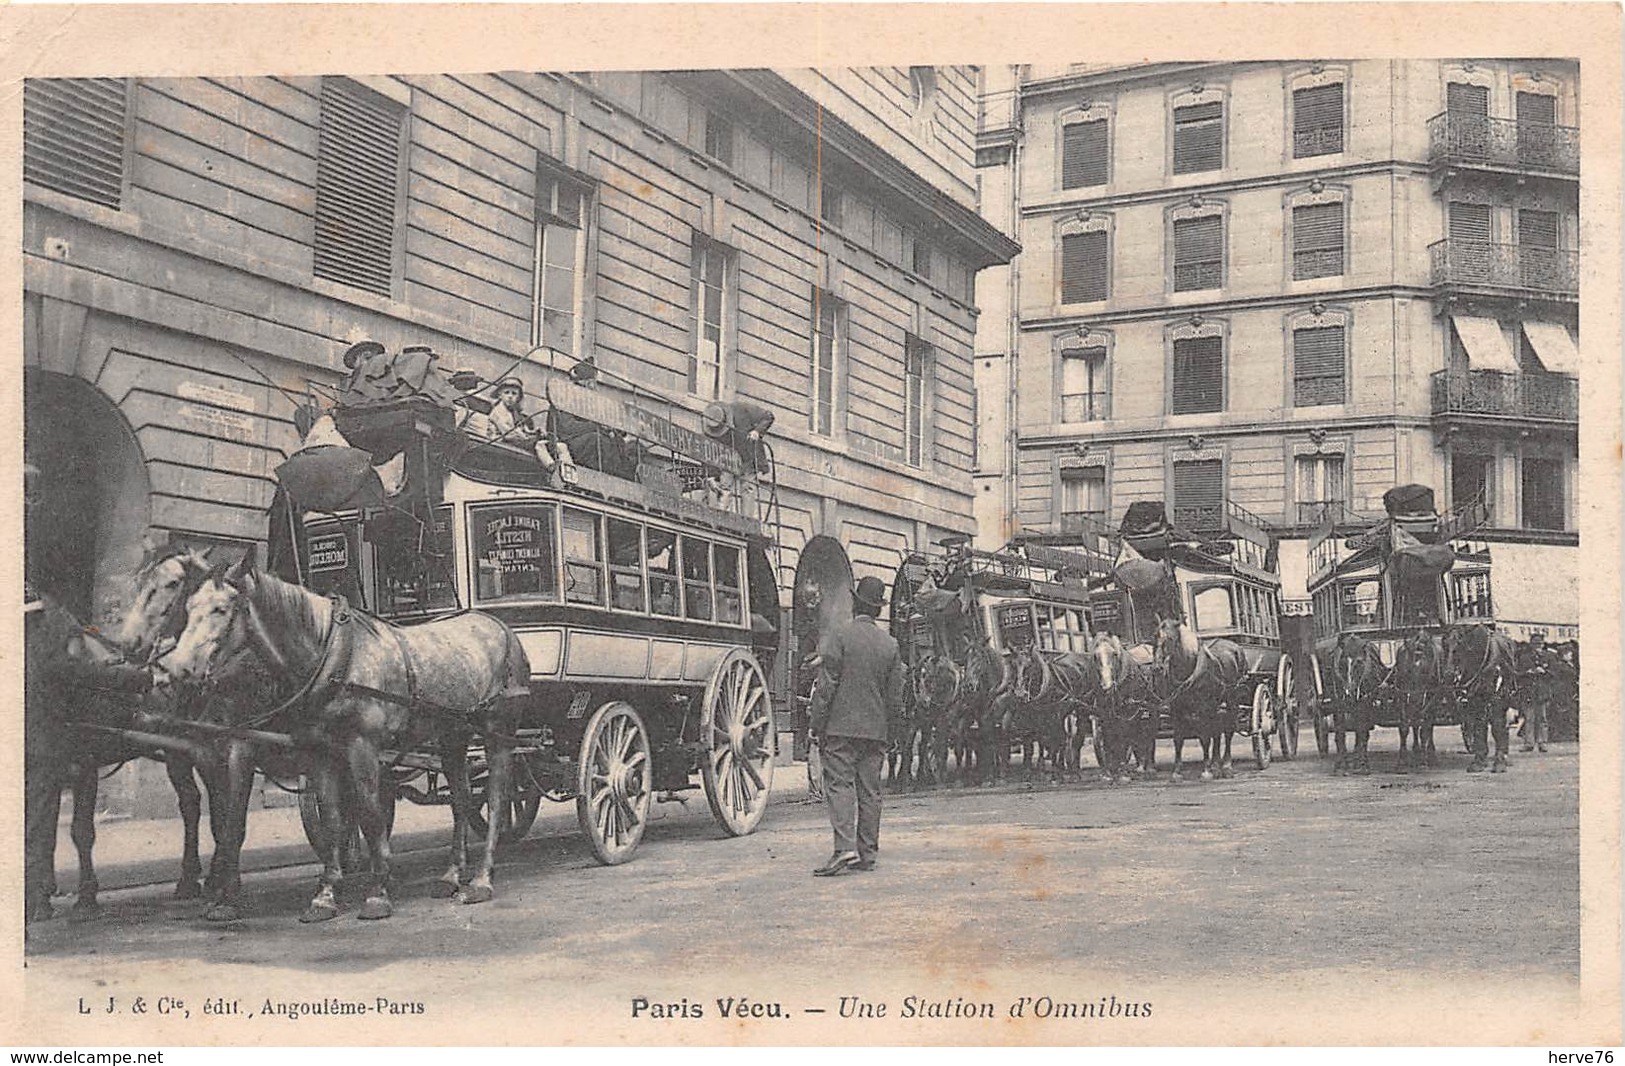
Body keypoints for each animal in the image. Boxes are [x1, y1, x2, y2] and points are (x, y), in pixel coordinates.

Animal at [156, 562, 529, 923]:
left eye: (220, 609)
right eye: (188, 607)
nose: (175, 669)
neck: (333, 656)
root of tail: (498, 625)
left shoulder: (361, 747)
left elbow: (369, 814)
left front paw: (377, 892)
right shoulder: (319, 752)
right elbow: (333, 818)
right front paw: (324, 895)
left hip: (497, 730)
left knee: (497, 798)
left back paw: (481, 879)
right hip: (453, 734)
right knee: (462, 801)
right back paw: (451, 876)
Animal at [1157, 617, 1241, 783]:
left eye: (1170, 638)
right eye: (1155, 636)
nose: (1159, 665)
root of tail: (1233, 646)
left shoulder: (1203, 709)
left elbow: (1204, 738)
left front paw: (1206, 771)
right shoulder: (1176, 709)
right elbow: (1178, 738)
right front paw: (1177, 772)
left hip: (1231, 699)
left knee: (1228, 729)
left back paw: (1226, 766)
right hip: (1215, 705)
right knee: (1217, 730)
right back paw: (1216, 765)